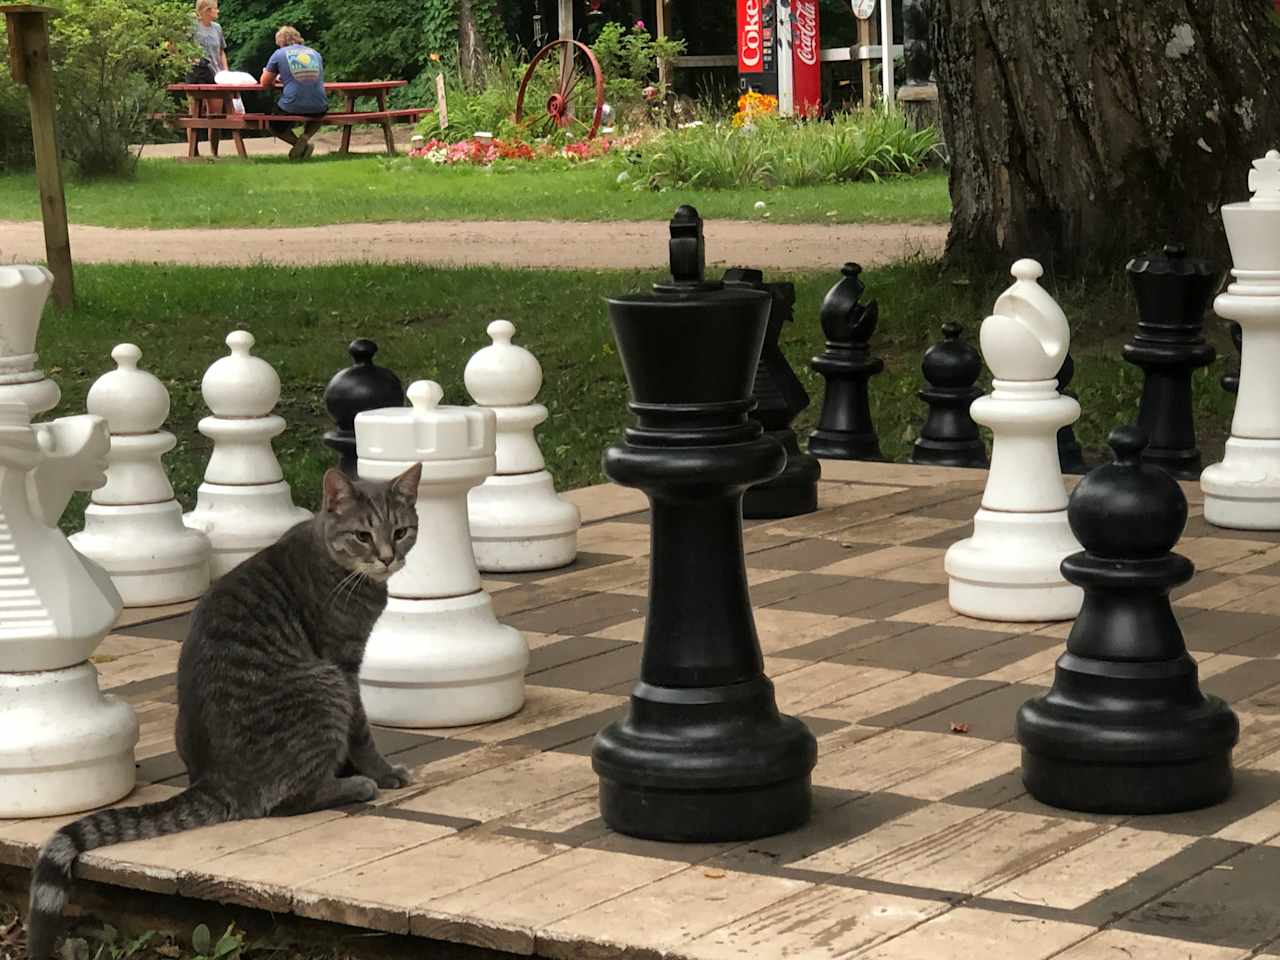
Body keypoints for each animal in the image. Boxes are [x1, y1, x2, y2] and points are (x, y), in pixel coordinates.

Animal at [24, 463, 422, 957]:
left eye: (401, 531)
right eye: (364, 535)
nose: (387, 557)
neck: (334, 560)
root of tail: (214, 781)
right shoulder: (344, 666)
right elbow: (362, 731)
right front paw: (381, 772)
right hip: (323, 683)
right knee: (283, 802)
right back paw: (354, 785)